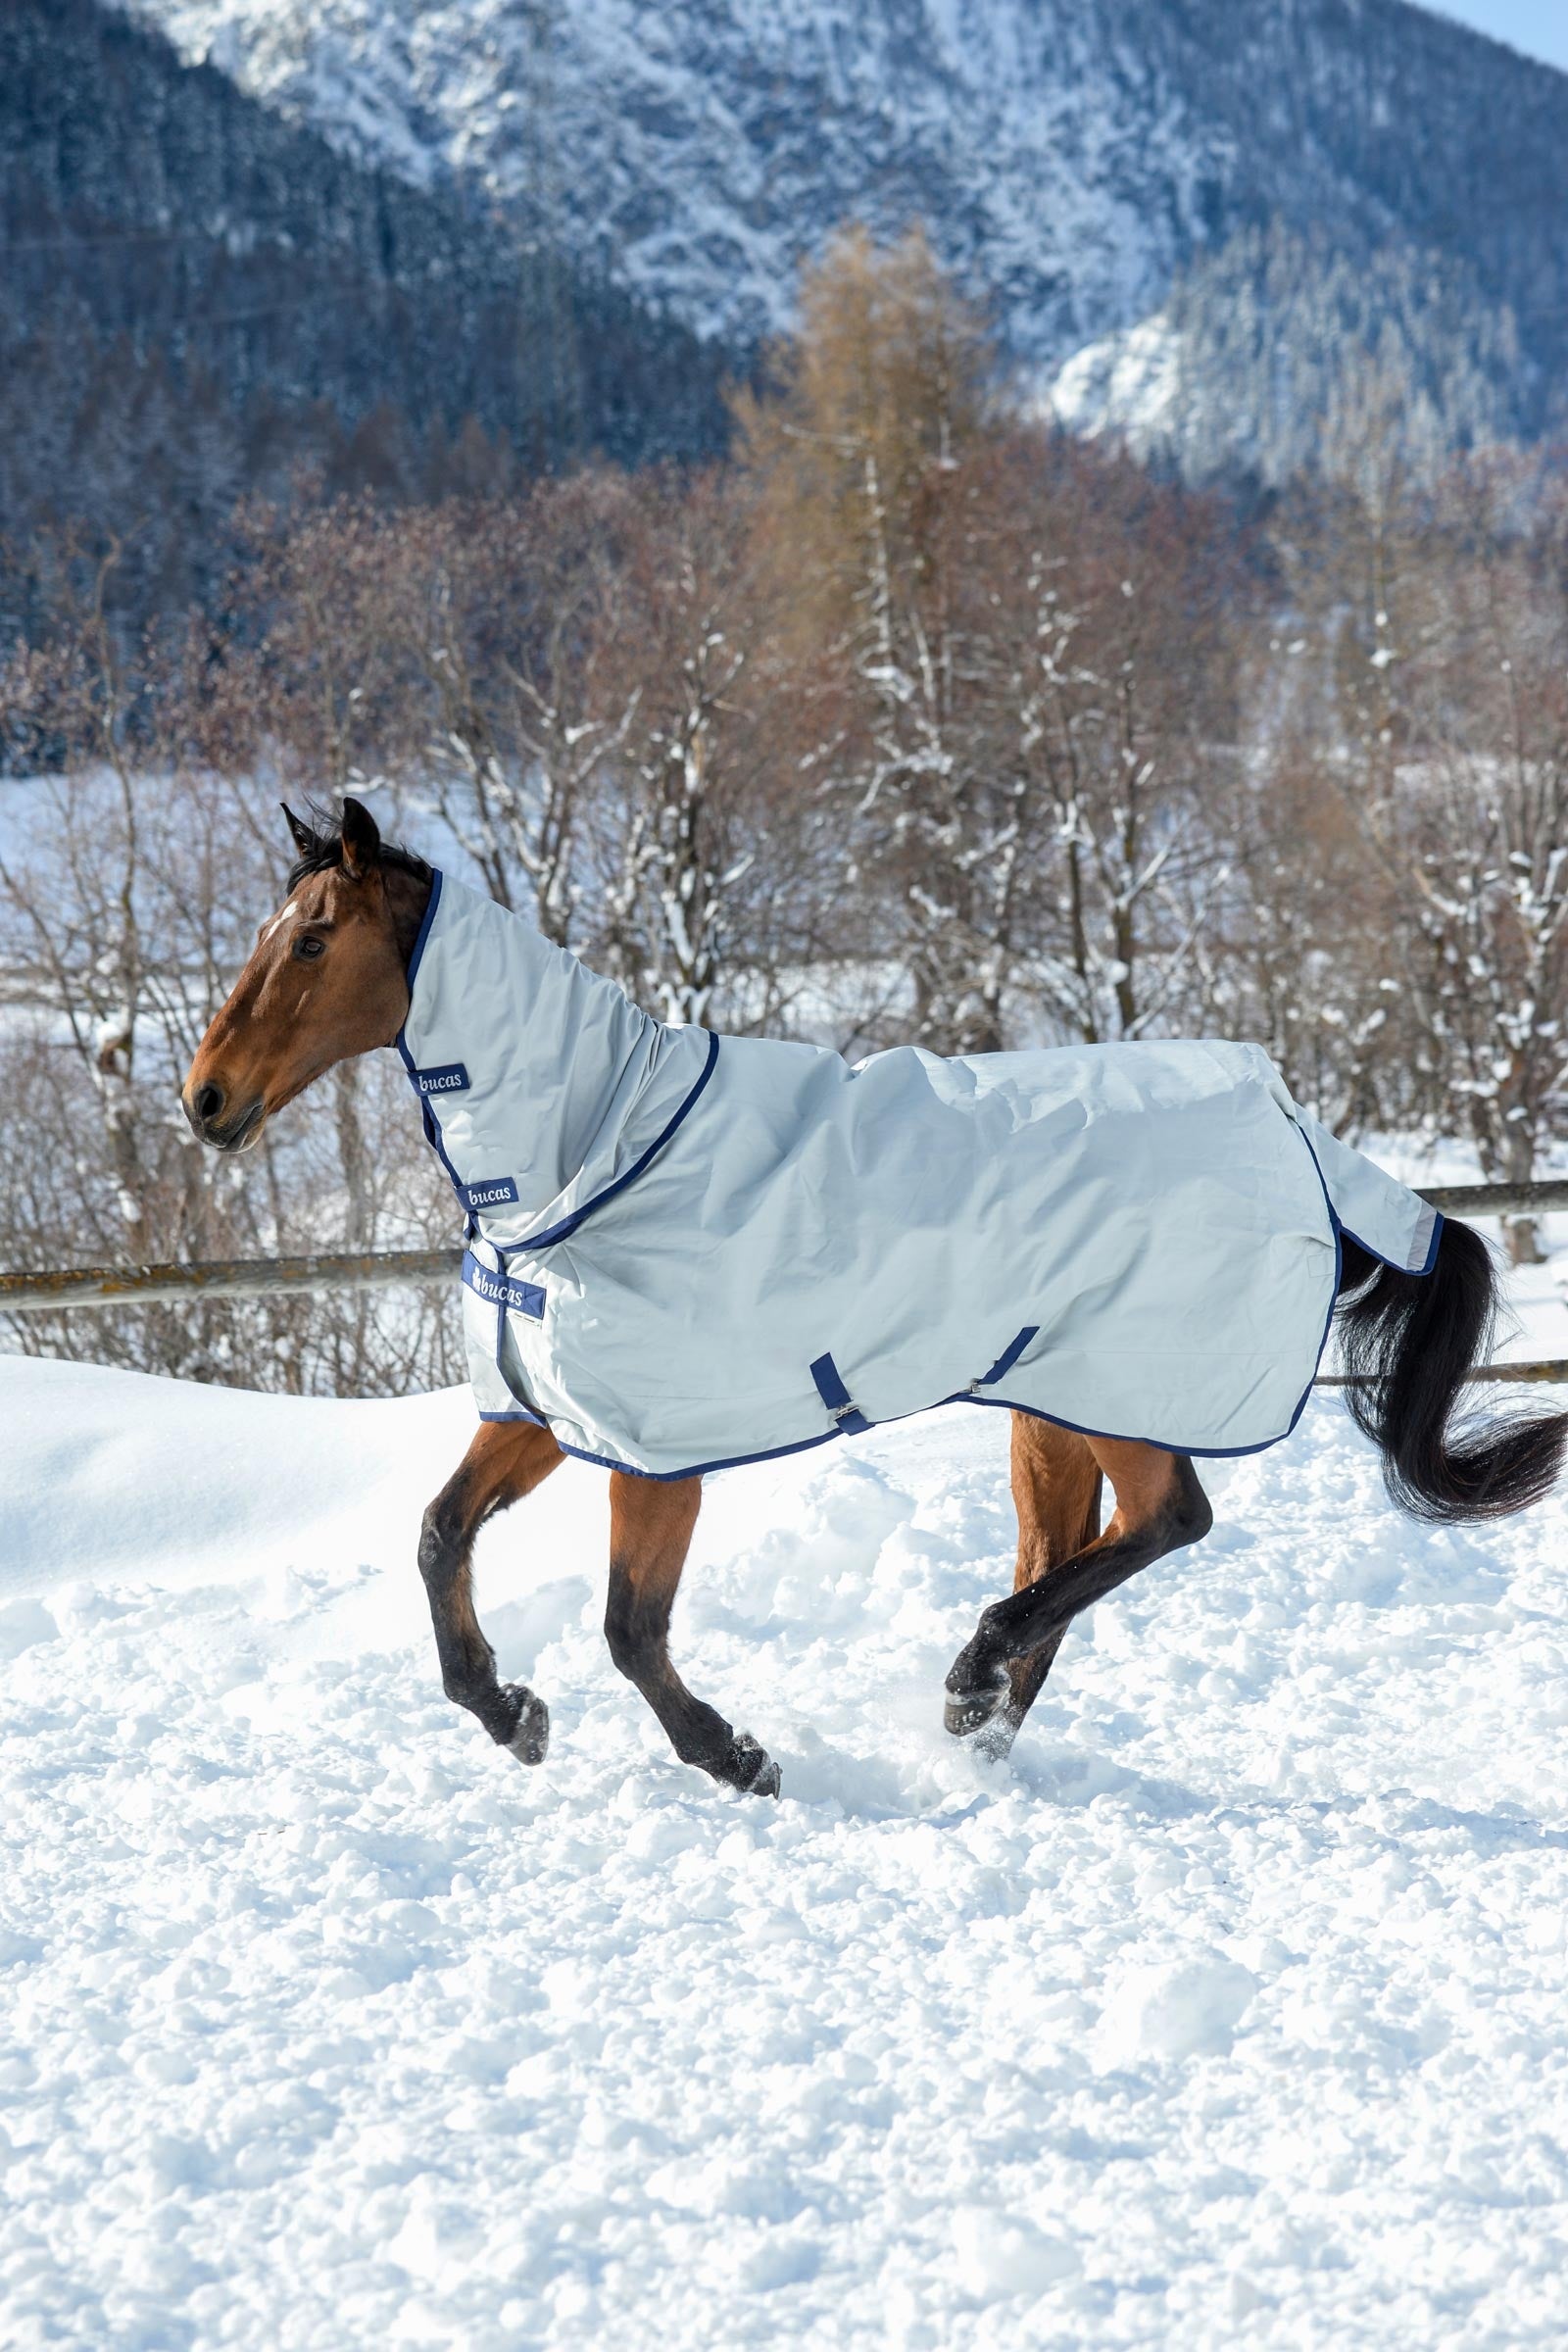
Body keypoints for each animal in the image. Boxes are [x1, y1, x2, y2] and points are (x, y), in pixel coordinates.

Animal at [182, 798, 1566, 1799]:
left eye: (311, 940)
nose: (204, 1099)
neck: (585, 1161)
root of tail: (1291, 1122)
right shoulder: (548, 1415)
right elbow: (437, 1537)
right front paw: (509, 1715)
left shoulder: (661, 1451)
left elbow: (631, 1630)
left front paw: (737, 1759)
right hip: (1049, 1403)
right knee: (1070, 1557)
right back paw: (976, 1723)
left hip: (1128, 1390)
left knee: (1170, 1521)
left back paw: (966, 1681)